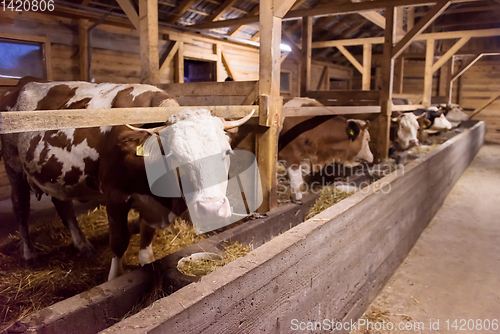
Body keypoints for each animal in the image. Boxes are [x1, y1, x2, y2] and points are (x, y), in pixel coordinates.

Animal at [0, 78, 252, 280]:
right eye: (174, 156)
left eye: (227, 152)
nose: (211, 209)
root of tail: (22, 84)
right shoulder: (115, 196)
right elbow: (119, 241)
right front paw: (114, 277)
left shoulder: (150, 204)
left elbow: (147, 234)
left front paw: (146, 260)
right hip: (13, 167)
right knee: (20, 207)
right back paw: (28, 254)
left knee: (63, 205)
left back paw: (83, 245)